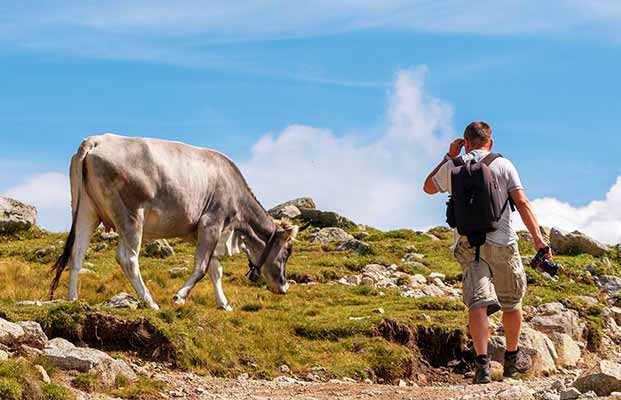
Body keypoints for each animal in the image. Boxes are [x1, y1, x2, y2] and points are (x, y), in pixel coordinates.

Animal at [48, 134, 306, 310]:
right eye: (287, 252)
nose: (285, 286)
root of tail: (95, 140)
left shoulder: (200, 232)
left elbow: (215, 269)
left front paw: (223, 304)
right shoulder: (212, 222)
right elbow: (201, 267)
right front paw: (179, 297)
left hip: (86, 212)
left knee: (76, 254)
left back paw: (72, 299)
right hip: (131, 215)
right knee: (127, 258)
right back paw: (149, 301)